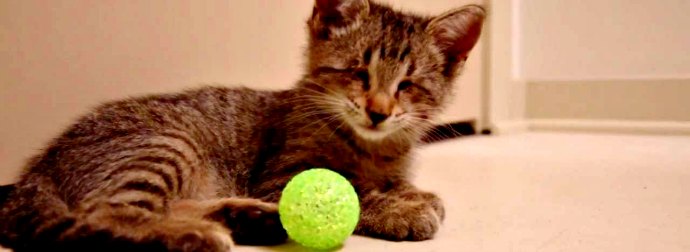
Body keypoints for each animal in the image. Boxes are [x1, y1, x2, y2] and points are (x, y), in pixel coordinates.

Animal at [0, 0, 484, 251]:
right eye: (358, 73)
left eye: (407, 85)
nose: (379, 111)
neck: (374, 148)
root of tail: (39, 166)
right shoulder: (280, 175)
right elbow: (350, 193)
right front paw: (402, 209)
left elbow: (393, 184)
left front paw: (411, 194)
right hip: (168, 143)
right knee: (105, 212)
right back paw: (195, 235)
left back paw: (247, 218)